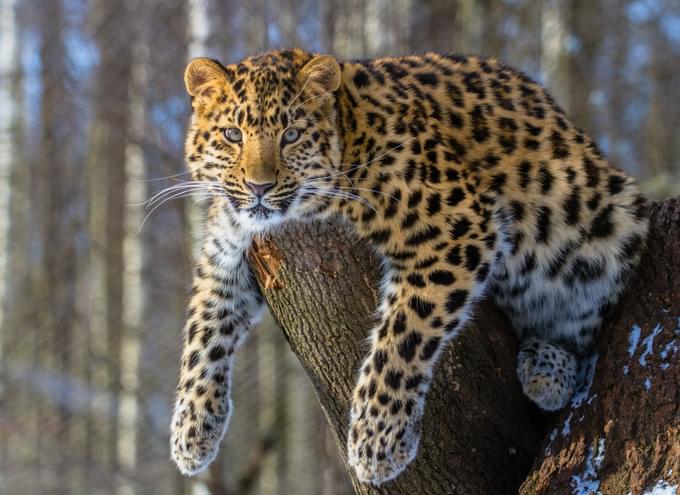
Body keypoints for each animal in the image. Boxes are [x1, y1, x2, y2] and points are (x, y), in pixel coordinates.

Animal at [170, 49, 648, 484]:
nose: (259, 187)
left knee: (583, 333)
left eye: (291, 135)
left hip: (609, 227)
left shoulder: (459, 227)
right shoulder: (225, 251)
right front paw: (190, 432)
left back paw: (548, 370)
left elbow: (404, 332)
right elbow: (202, 330)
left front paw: (376, 442)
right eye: (232, 134)